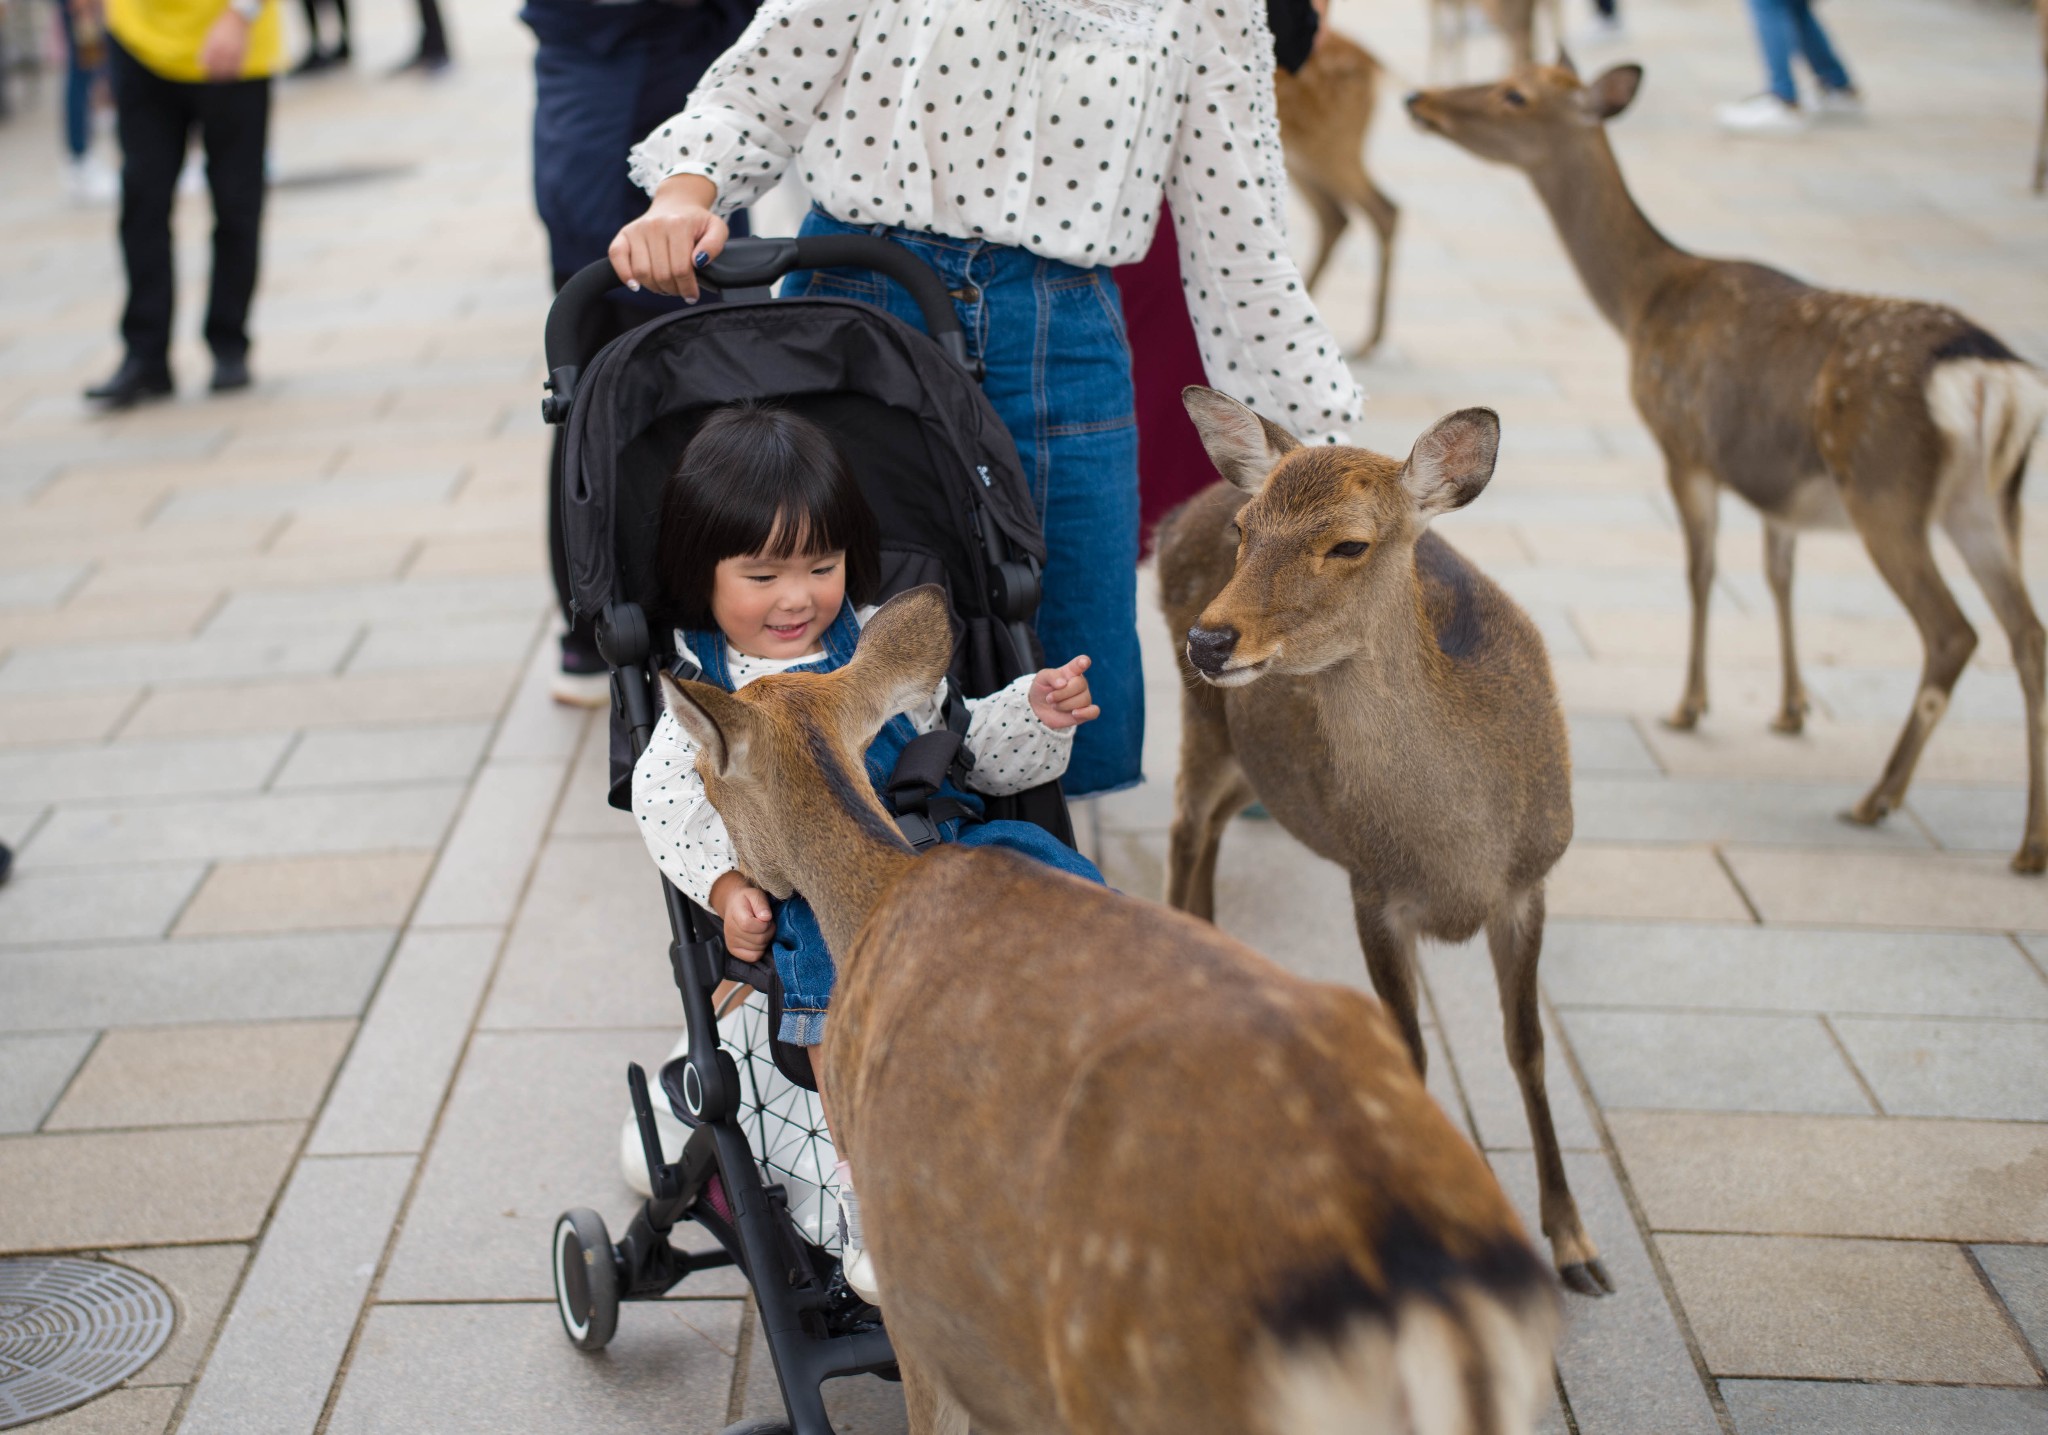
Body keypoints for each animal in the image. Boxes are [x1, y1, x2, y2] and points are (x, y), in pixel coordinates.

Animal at [655, 585, 1548, 1432]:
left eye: (704, 778)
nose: (744, 891)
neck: (878, 895)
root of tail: (1418, 1280)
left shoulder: (920, 1296)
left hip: (1134, 1373)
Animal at [1163, 390, 1605, 1301]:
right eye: (1248, 531)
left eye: (1349, 543)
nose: (1210, 640)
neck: (1458, 854)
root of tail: (1177, 516)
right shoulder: (1370, 888)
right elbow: (1410, 1051)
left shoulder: (1531, 882)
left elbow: (1529, 1047)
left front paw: (1576, 1243)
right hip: (1203, 722)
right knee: (1184, 827)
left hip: (1249, 762)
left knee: (1210, 826)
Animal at [1269, 30, 1400, 356]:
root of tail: (1374, 65)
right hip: (1307, 156)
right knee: (1337, 216)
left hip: (1331, 143)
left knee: (1384, 208)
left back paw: (1368, 339)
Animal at [1409, 61, 2048, 872]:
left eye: (1514, 94)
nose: (1418, 99)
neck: (1643, 303)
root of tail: (1997, 377)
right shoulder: (1782, 492)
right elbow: (1779, 576)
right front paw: (1790, 708)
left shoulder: (1683, 444)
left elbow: (1701, 570)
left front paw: (1689, 705)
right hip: (1987, 503)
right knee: (2029, 635)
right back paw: (2030, 842)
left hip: (1885, 489)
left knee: (1954, 633)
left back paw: (1877, 799)